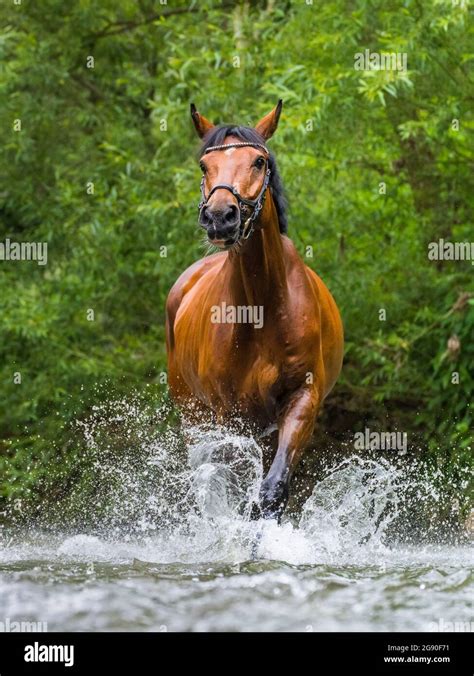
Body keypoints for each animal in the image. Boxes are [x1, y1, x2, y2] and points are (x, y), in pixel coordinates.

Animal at [166, 100, 344, 521]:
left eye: (259, 161)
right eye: (204, 166)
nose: (220, 216)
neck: (261, 309)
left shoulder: (301, 399)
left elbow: (272, 488)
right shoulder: (230, 415)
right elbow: (231, 487)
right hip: (193, 416)